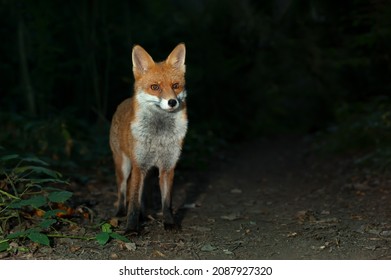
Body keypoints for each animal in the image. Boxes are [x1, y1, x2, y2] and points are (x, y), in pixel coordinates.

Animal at [110, 43, 188, 232]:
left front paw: (169, 222)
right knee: (122, 192)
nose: (172, 102)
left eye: (176, 85)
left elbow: (166, 202)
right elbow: (133, 203)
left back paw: (145, 215)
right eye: (155, 87)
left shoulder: (168, 166)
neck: (159, 135)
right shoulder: (139, 165)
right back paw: (120, 212)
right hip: (124, 166)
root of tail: (123, 102)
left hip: (149, 171)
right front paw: (131, 228)